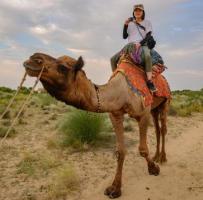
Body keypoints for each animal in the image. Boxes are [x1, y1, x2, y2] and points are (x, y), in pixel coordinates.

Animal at [23, 52, 170, 198]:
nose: (33, 58)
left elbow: (143, 149)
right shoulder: (115, 114)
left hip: (164, 103)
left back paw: (162, 158)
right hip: (154, 109)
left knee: (163, 129)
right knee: (157, 129)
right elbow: (120, 151)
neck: (121, 92)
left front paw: (153, 169)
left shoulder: (144, 113)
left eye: (63, 67)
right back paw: (156, 156)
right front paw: (115, 188)